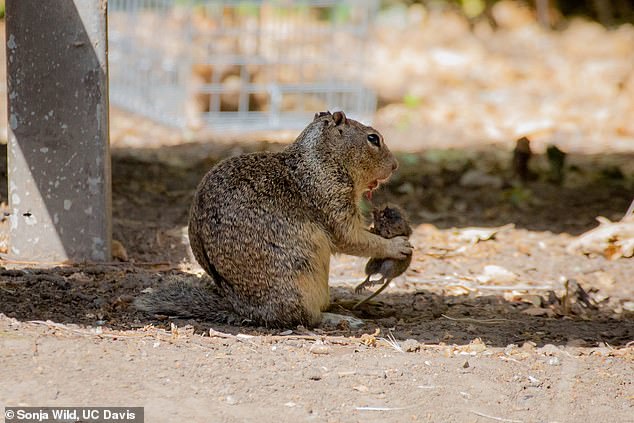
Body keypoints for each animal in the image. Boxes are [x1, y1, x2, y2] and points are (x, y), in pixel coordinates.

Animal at [134, 112, 412, 328]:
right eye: (373, 138)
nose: (396, 165)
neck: (322, 159)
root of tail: (244, 310)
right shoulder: (332, 202)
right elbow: (354, 239)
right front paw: (397, 245)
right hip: (300, 281)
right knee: (305, 318)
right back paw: (341, 318)